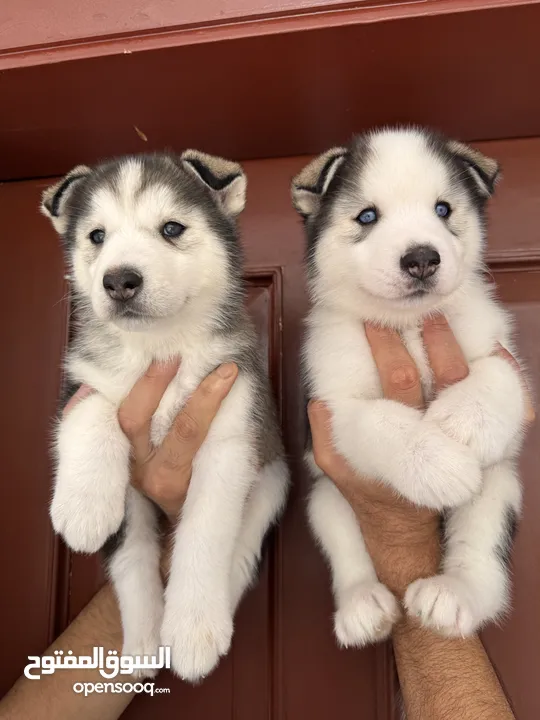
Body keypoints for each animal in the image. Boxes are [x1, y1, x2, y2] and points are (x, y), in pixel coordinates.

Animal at [40, 152, 288, 680]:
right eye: (97, 236)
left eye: (172, 228)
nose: (119, 280)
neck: (159, 347)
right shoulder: (82, 380)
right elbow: (93, 406)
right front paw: (82, 503)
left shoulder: (233, 429)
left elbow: (204, 533)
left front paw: (194, 628)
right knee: (131, 553)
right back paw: (142, 640)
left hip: (273, 473)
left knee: (240, 544)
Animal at [292, 125, 528, 648]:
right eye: (367, 216)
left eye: (443, 209)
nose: (421, 257)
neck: (408, 327)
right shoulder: (329, 407)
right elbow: (380, 419)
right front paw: (439, 463)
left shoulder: (498, 351)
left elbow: (500, 377)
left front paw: (462, 424)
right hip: (326, 499)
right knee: (347, 552)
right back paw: (361, 604)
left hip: (500, 487)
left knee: (483, 561)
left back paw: (453, 595)